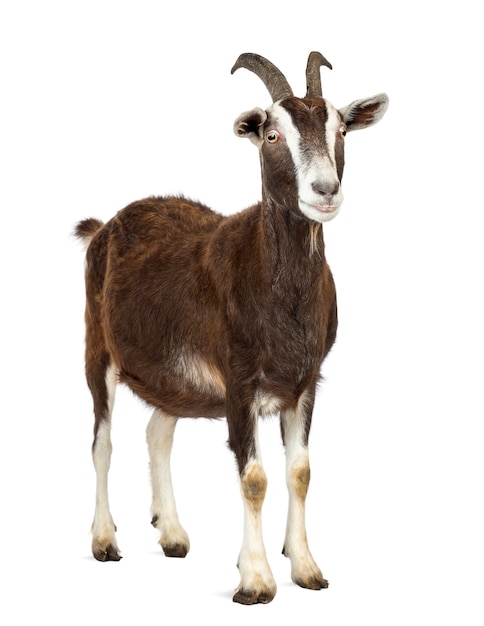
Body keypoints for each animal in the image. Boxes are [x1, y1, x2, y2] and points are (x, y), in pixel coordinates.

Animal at [74, 52, 390, 600]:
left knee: (158, 432)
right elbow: (255, 478)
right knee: (102, 441)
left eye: (342, 129)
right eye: (272, 134)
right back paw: (104, 540)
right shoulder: (238, 381)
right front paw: (257, 580)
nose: (325, 191)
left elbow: (300, 472)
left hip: (174, 378)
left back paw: (172, 534)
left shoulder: (305, 382)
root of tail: (103, 227)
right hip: (99, 349)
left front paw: (306, 568)